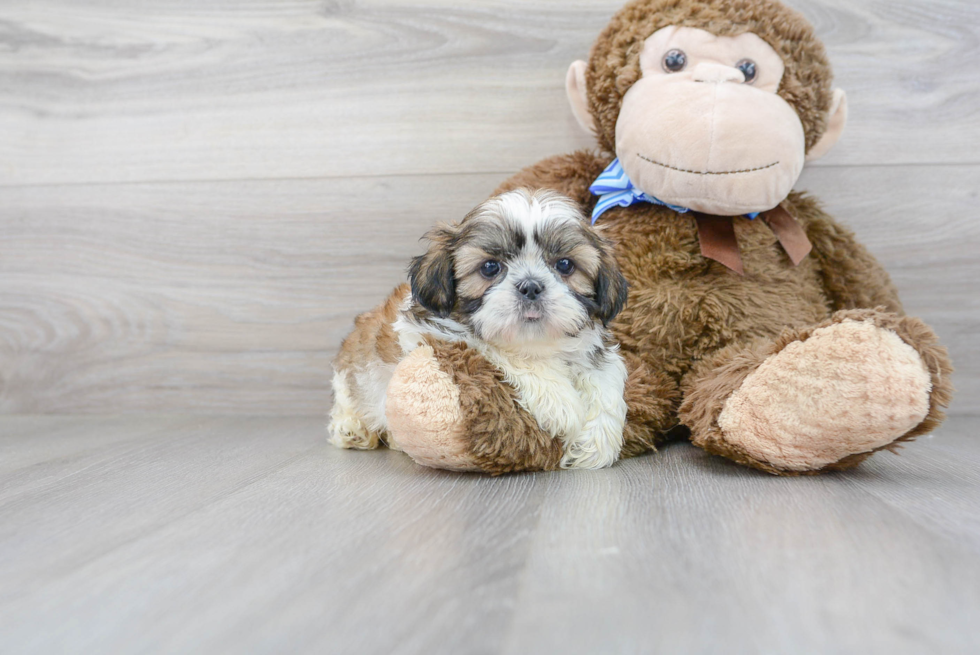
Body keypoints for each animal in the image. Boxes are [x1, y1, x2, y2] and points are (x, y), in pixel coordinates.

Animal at [330, 190, 632, 472]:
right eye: (490, 267)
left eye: (565, 264)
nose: (531, 286)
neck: (537, 342)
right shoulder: (435, 331)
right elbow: (499, 349)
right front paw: (562, 404)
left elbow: (607, 376)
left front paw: (595, 443)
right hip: (352, 368)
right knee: (346, 398)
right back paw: (351, 429)